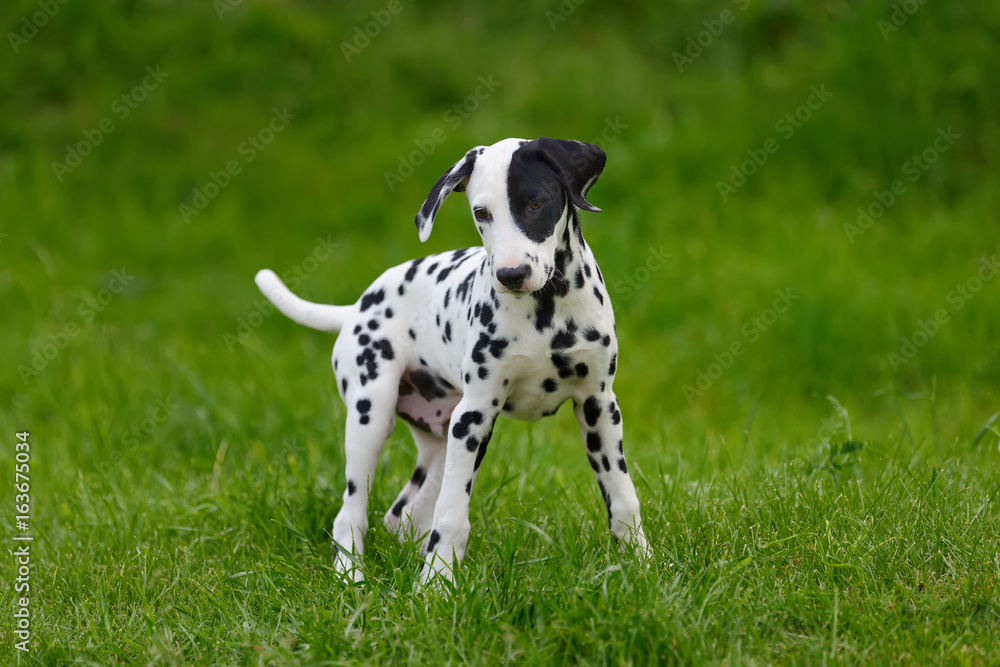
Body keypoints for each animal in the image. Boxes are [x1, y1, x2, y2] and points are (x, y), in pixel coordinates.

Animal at [256, 137, 648, 584]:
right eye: (481, 213)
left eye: (536, 203)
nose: (510, 275)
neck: (546, 311)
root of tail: (356, 308)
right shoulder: (475, 415)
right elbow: (452, 514)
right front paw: (436, 583)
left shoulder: (598, 405)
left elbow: (623, 496)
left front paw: (643, 563)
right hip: (374, 419)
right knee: (352, 511)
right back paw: (351, 575)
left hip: (442, 441)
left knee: (404, 513)